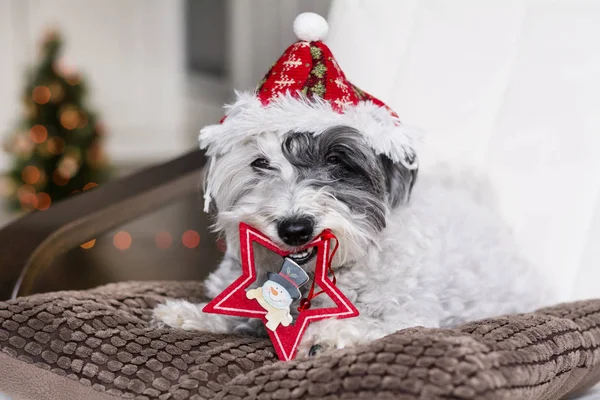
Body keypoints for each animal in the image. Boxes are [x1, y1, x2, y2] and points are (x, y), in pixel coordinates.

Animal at [151, 124, 552, 356]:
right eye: (260, 163)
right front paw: (187, 314)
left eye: (336, 160)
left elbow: (366, 324)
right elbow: (232, 312)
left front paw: (324, 336)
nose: (295, 228)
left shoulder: (408, 316)